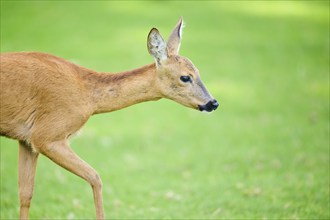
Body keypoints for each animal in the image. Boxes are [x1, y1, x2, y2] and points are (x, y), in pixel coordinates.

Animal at [0, 17, 218, 220]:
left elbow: (26, 194)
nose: (213, 103)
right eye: (185, 77)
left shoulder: (27, 140)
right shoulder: (46, 135)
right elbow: (95, 177)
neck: (88, 96)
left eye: (198, 72)